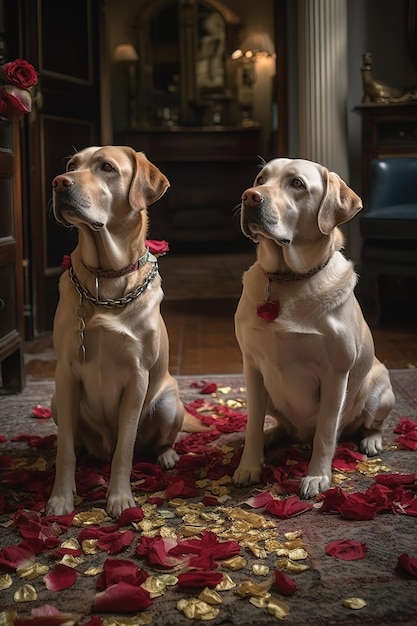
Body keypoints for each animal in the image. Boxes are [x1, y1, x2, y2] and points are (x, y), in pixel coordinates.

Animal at [46, 146, 188, 516]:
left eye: (107, 167)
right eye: (71, 165)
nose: (58, 182)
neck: (105, 278)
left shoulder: (137, 376)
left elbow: (125, 448)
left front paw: (120, 498)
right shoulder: (65, 374)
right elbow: (65, 450)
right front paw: (61, 498)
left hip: (168, 402)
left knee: (155, 441)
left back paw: (168, 456)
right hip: (55, 402)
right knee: (78, 445)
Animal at [232, 160, 394, 498]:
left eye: (297, 184)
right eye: (260, 178)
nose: (249, 196)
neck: (286, 279)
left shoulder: (335, 375)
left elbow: (326, 432)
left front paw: (317, 476)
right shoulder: (251, 366)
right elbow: (252, 424)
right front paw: (249, 465)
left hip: (379, 390)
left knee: (371, 423)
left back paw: (371, 440)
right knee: (277, 425)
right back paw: (270, 436)